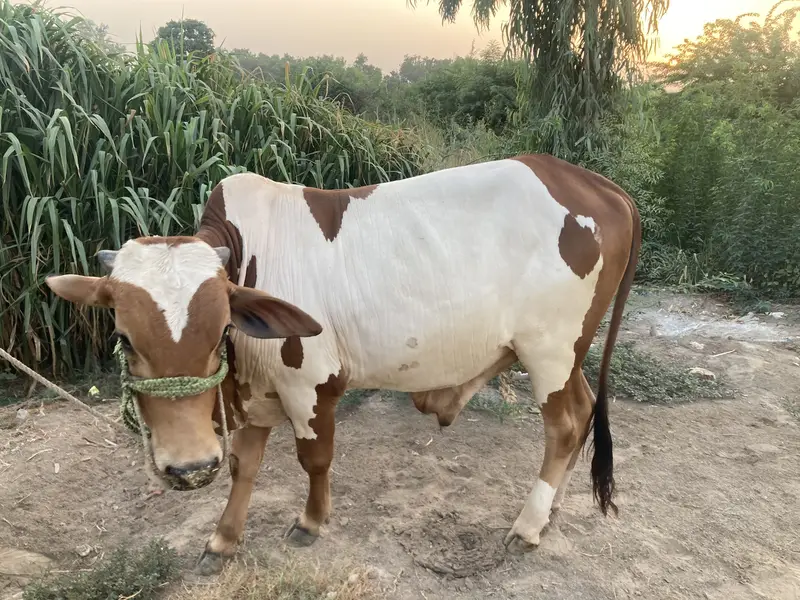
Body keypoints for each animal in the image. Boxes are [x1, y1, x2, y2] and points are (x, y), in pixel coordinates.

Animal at [45, 154, 640, 575]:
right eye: (122, 338)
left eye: (219, 332)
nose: (188, 468)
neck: (250, 256)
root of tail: (598, 186)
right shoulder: (253, 394)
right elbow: (244, 465)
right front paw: (222, 540)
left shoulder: (309, 385)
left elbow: (314, 460)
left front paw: (310, 522)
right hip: (567, 356)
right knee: (584, 413)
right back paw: (552, 511)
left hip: (550, 350)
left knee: (565, 425)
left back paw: (529, 524)